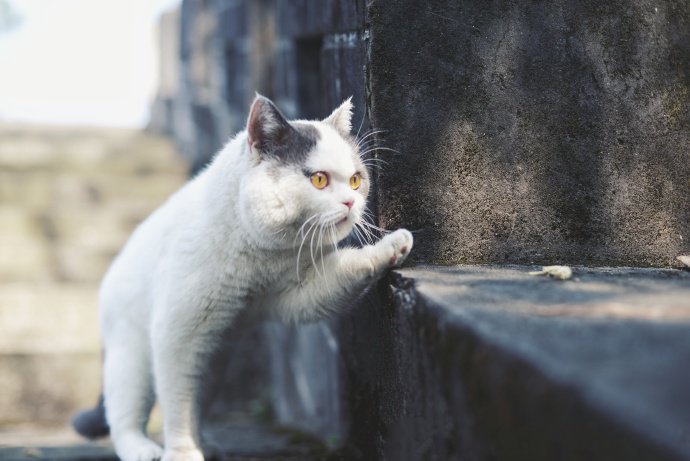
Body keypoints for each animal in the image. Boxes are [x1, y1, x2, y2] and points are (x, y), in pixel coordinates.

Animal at [72, 94, 412, 460]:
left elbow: (345, 271)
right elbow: (177, 405)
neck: (260, 258)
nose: (350, 202)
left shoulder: (299, 291)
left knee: (195, 402)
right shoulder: (177, 332)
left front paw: (395, 245)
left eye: (356, 180)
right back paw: (143, 449)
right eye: (319, 179)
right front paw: (183, 453)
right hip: (132, 357)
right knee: (123, 416)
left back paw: (208, 443)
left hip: (213, 360)